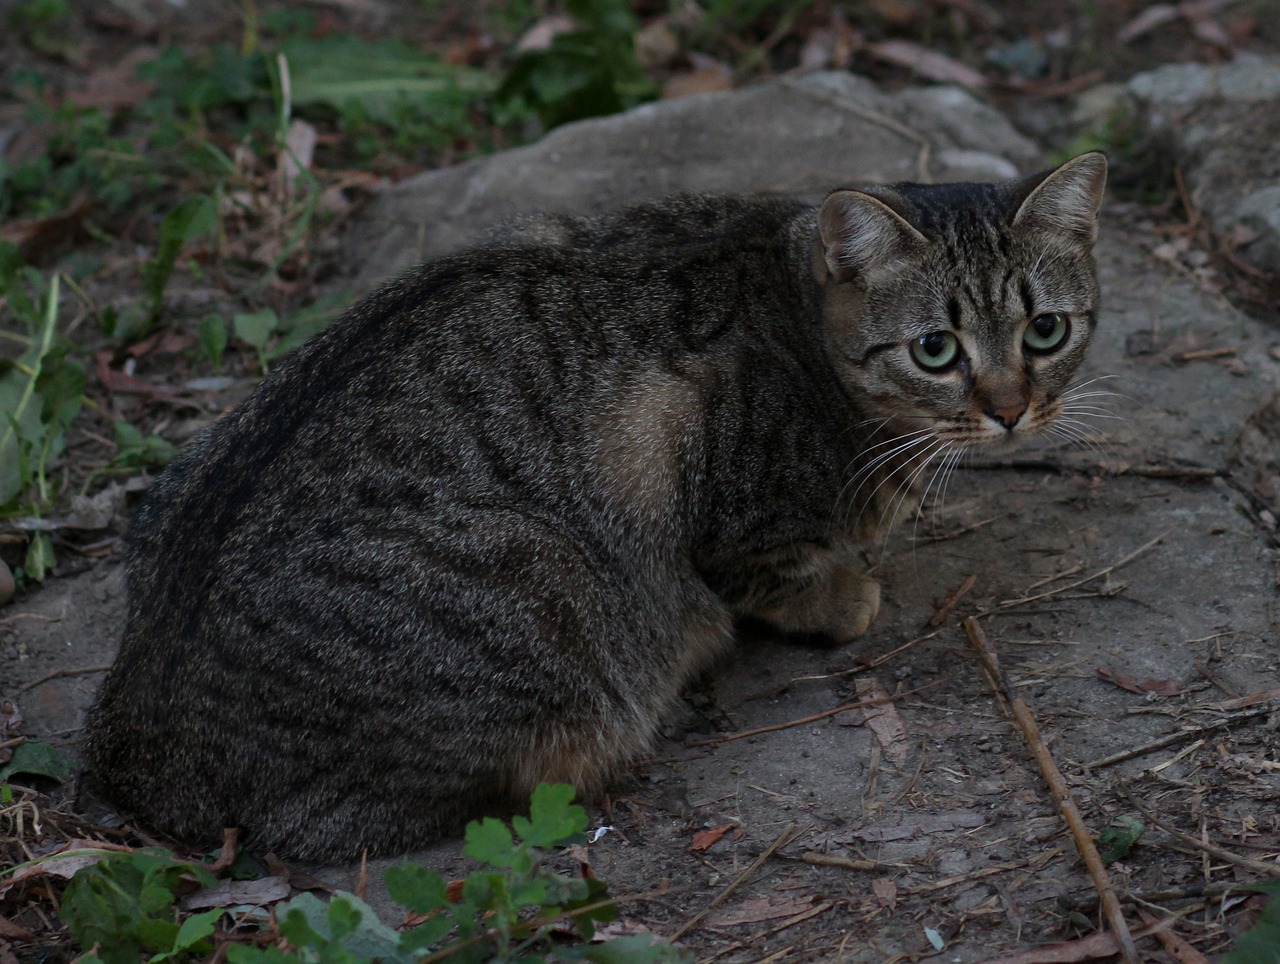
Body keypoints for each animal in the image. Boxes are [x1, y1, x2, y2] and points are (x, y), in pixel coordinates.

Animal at [82, 154, 1100, 860]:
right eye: (936, 350)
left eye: (1046, 330)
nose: (1011, 409)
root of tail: (135, 738)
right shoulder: (710, 489)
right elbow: (780, 578)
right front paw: (845, 593)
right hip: (540, 587)